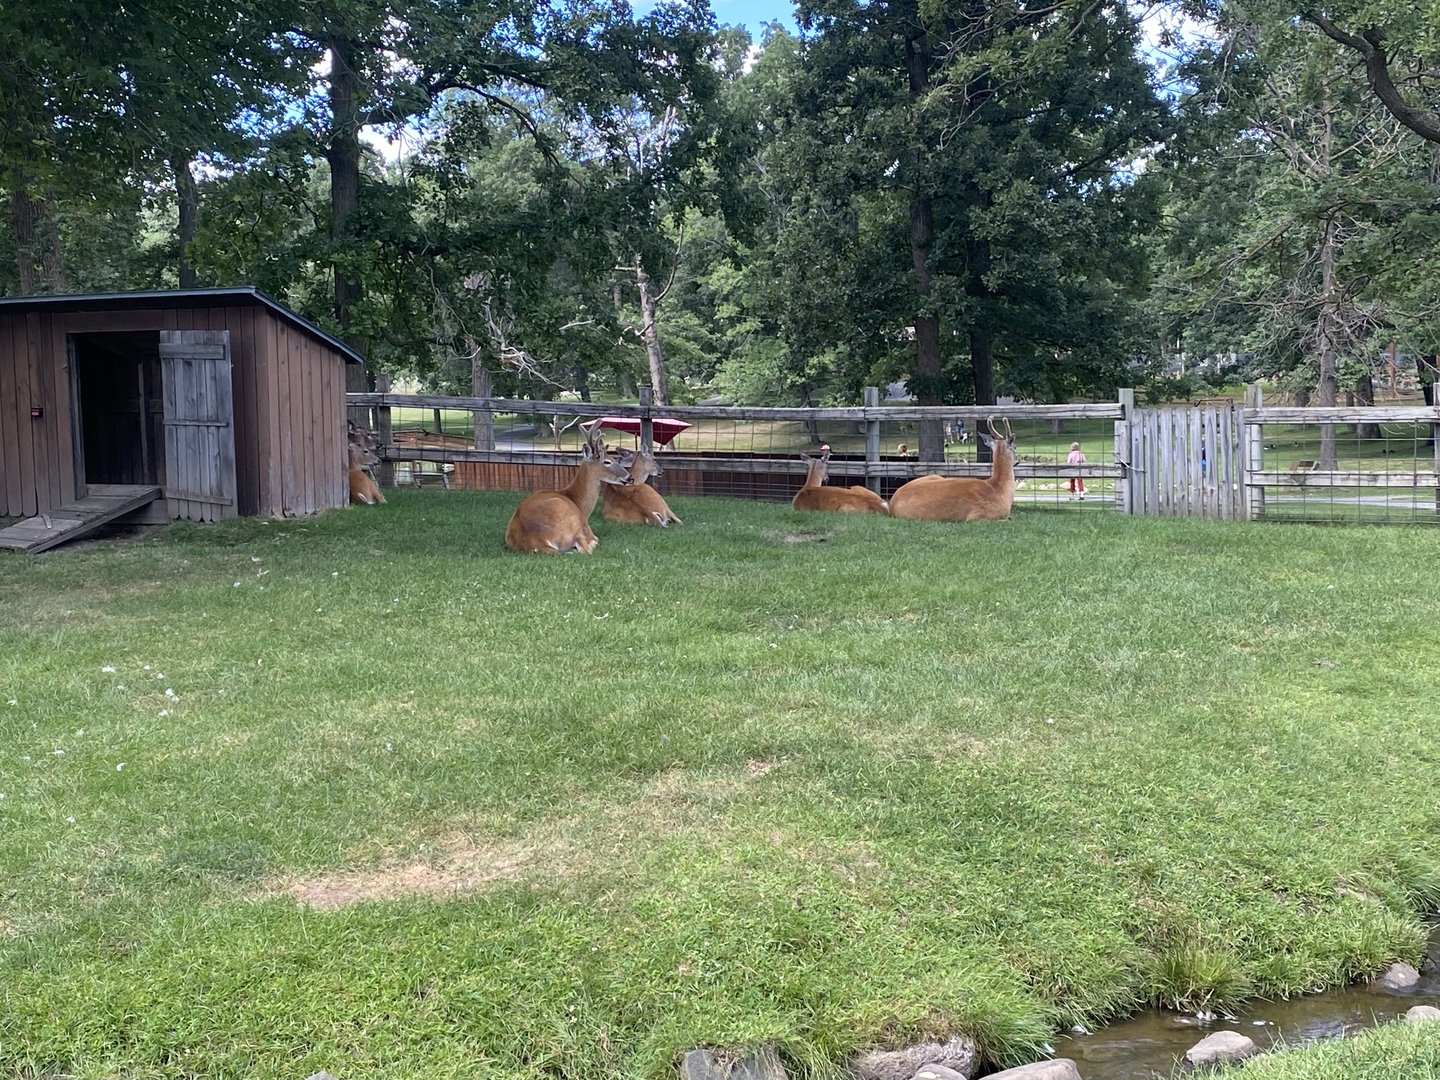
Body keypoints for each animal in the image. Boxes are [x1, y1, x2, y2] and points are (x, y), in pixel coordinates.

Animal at [504, 422, 633, 554]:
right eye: (607, 461)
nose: (630, 477)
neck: (580, 504)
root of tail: (537, 541)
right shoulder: (585, 526)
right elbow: (595, 539)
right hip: (572, 523)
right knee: (586, 549)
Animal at [887, 417, 1018, 521]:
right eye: (1014, 447)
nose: (1017, 461)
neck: (998, 489)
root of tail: (891, 504)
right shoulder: (979, 516)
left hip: (934, 475)